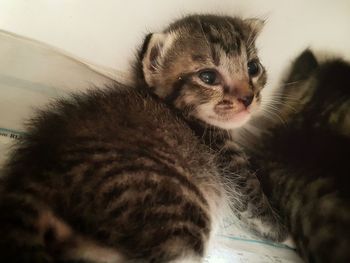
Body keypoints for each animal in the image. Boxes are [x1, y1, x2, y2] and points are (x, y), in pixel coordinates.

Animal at [0, 14, 284, 263]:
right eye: (208, 77)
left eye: (253, 67)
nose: (248, 98)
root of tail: (31, 178)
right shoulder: (229, 161)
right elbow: (255, 200)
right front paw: (284, 230)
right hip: (177, 209)